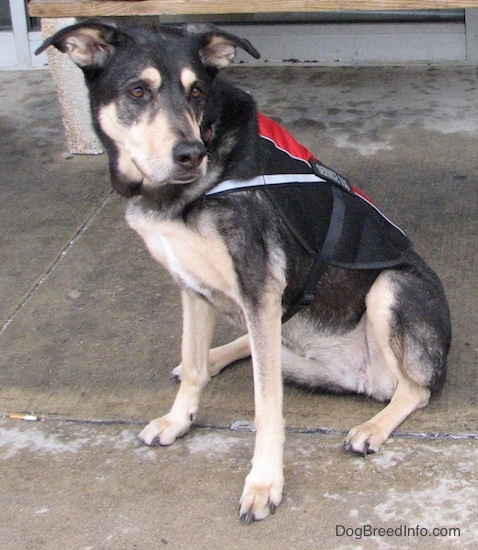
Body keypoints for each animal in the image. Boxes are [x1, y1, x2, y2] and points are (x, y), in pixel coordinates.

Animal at [38, 20, 452, 520]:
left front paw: (263, 482)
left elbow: (265, 406)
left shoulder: (259, 287)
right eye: (138, 91)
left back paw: (373, 426)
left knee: (416, 388)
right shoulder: (193, 286)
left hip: (388, 290)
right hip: (286, 340)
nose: (190, 154)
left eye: (196, 92)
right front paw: (178, 419)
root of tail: (362, 379)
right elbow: (195, 367)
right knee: (250, 346)